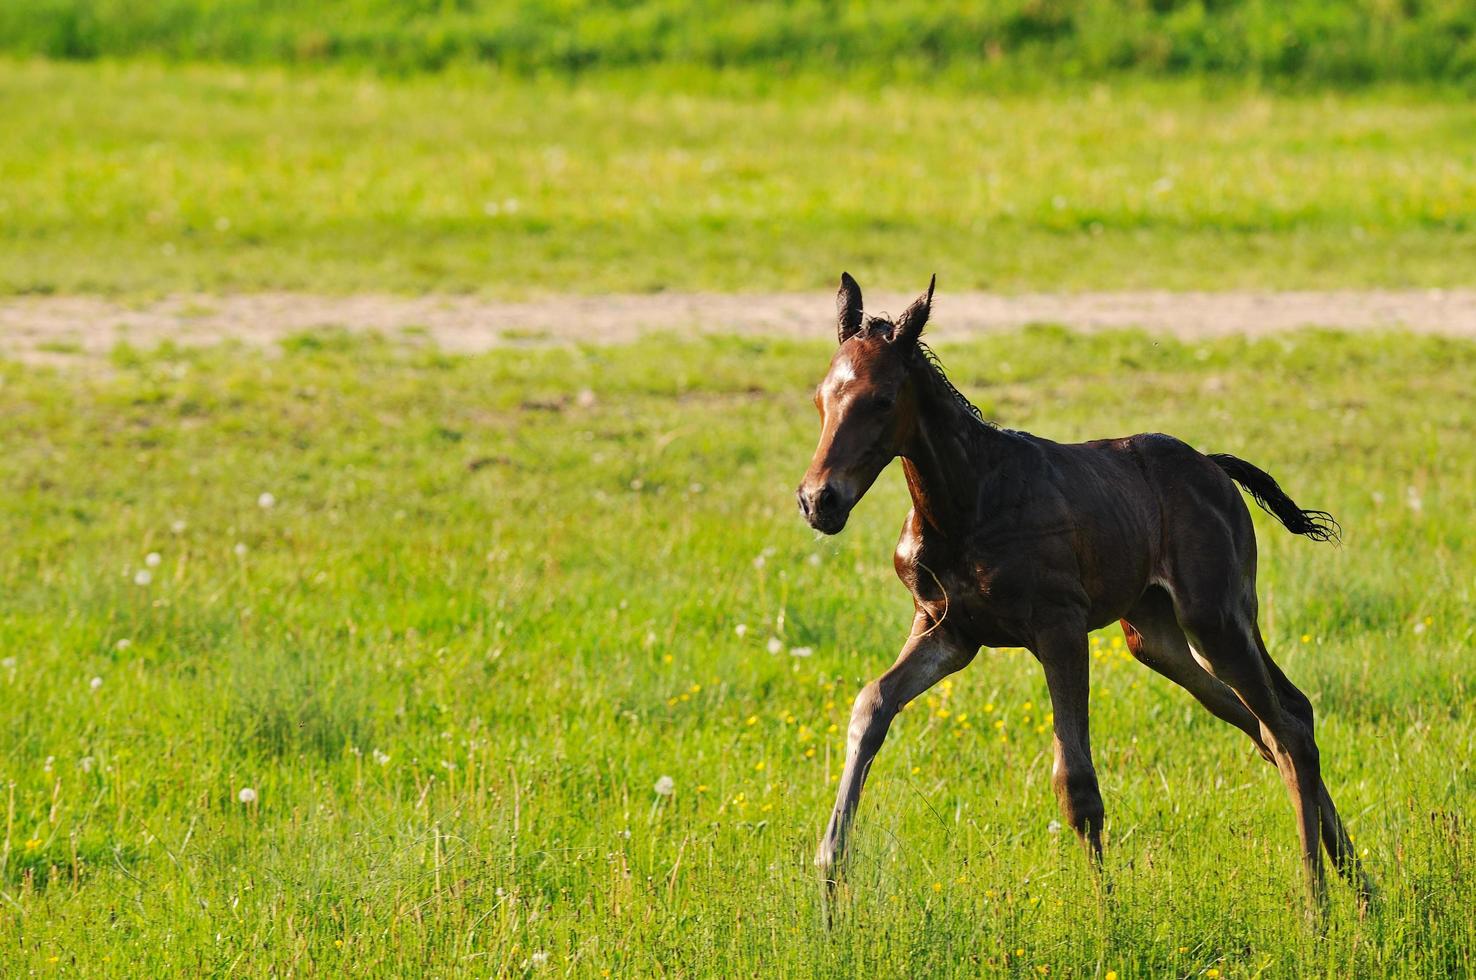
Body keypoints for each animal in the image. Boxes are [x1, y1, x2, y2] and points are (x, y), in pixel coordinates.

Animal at [797, 271, 1369, 909]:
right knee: (1276, 720)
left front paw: (1107, 912)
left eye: (881, 400)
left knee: (1287, 728)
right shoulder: (947, 630)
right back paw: (1362, 890)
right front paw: (828, 874)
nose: (819, 500)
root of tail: (1214, 468)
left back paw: (1319, 906)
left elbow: (1076, 780)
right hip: (1159, 638)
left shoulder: (1061, 628)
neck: (968, 502)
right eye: (820, 397)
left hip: (1217, 618)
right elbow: (871, 704)